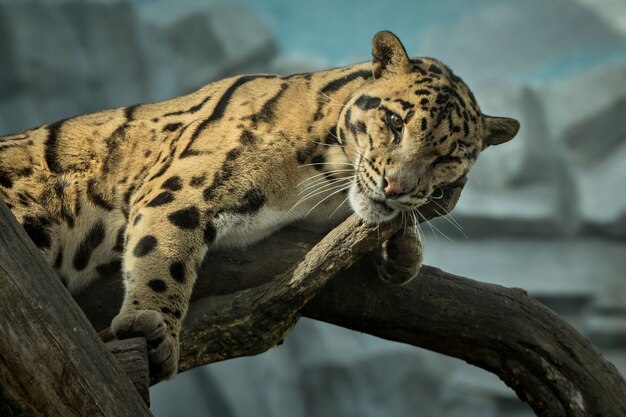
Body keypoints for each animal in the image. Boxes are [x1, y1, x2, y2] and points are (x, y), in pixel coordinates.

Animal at [0, 30, 516, 378]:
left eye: (447, 157)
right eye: (394, 121)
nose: (395, 186)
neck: (321, 178)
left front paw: (404, 250)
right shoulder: (182, 186)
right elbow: (163, 256)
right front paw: (151, 324)